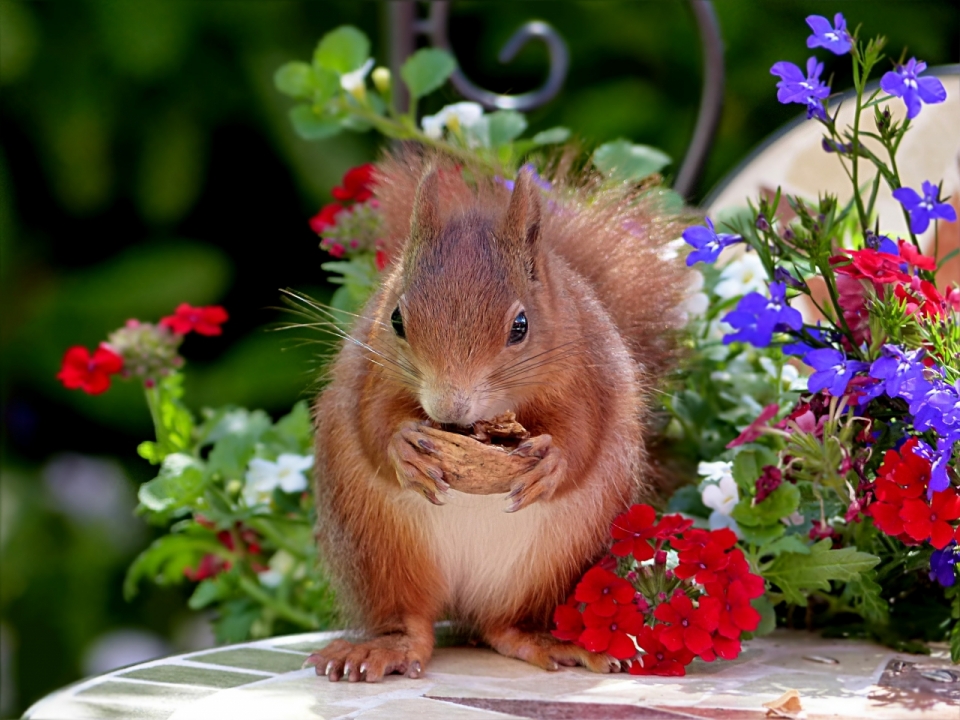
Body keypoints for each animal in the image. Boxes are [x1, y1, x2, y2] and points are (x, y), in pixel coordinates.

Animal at [306, 150, 688, 680]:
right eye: (397, 319)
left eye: (521, 326)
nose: (450, 407)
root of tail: (462, 600)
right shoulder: (370, 372)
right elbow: (372, 421)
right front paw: (404, 449)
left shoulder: (587, 376)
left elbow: (583, 434)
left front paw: (552, 464)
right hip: (378, 553)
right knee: (411, 621)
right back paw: (383, 648)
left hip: (553, 567)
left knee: (501, 627)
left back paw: (548, 640)